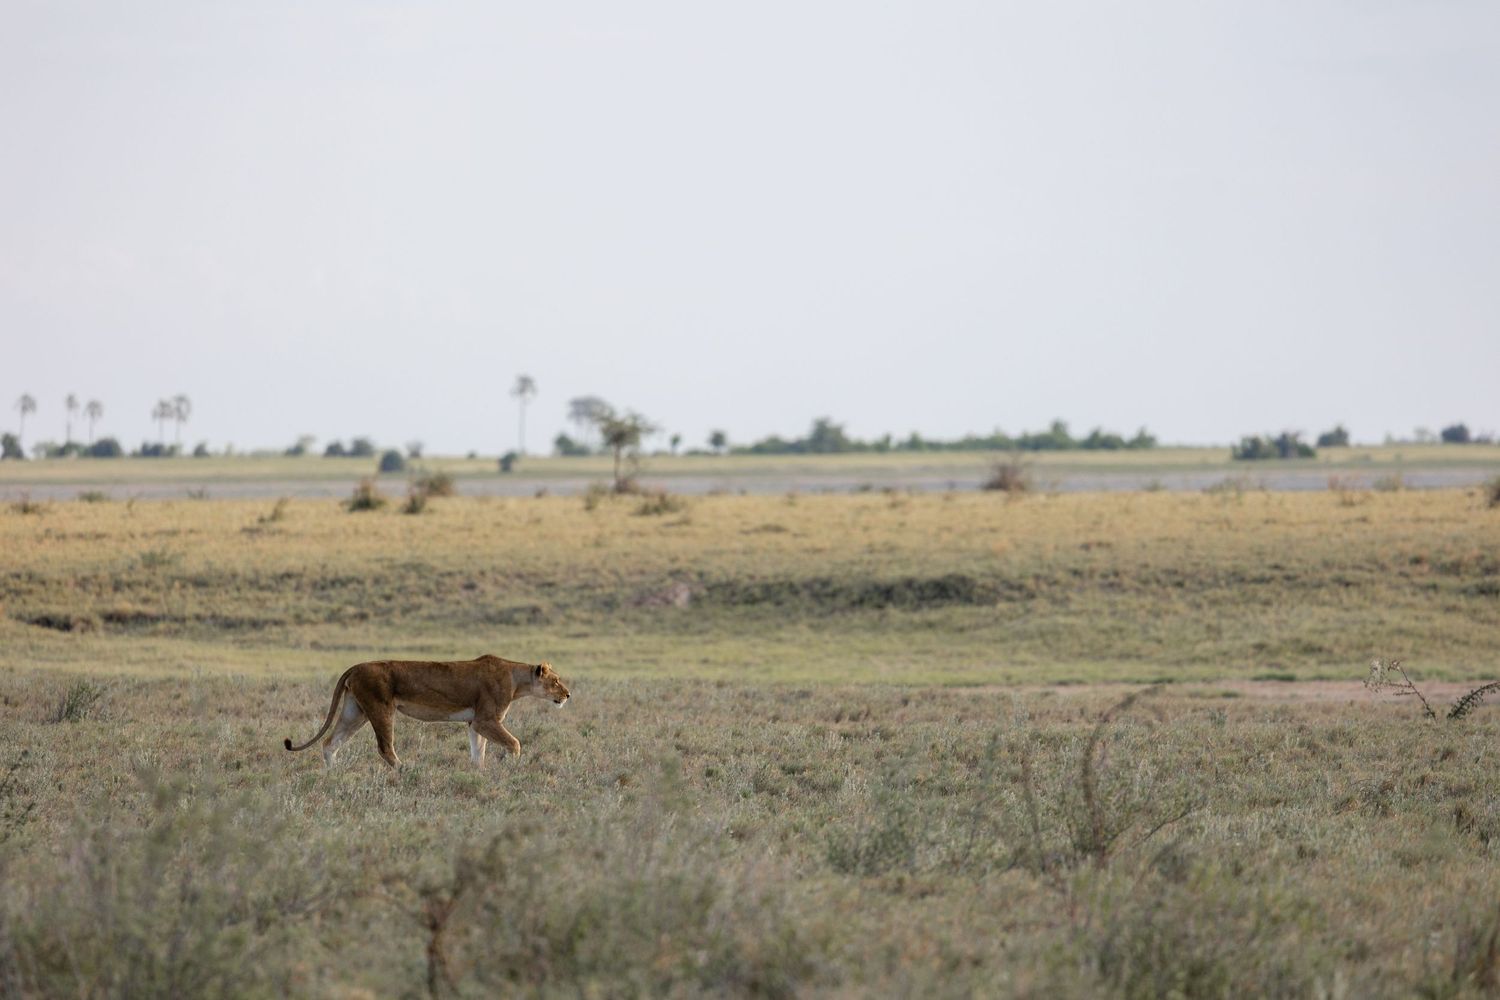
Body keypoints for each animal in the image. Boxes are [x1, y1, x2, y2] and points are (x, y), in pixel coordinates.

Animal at [283, 654, 569, 768]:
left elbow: (478, 753)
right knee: (385, 748)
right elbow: (515, 743)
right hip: (380, 707)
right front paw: (511, 768)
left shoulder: (475, 723)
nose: (568, 694)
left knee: (330, 743)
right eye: (556, 681)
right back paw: (406, 771)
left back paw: (334, 775)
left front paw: (480, 774)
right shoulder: (486, 720)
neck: (516, 678)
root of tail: (356, 666)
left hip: (356, 711)